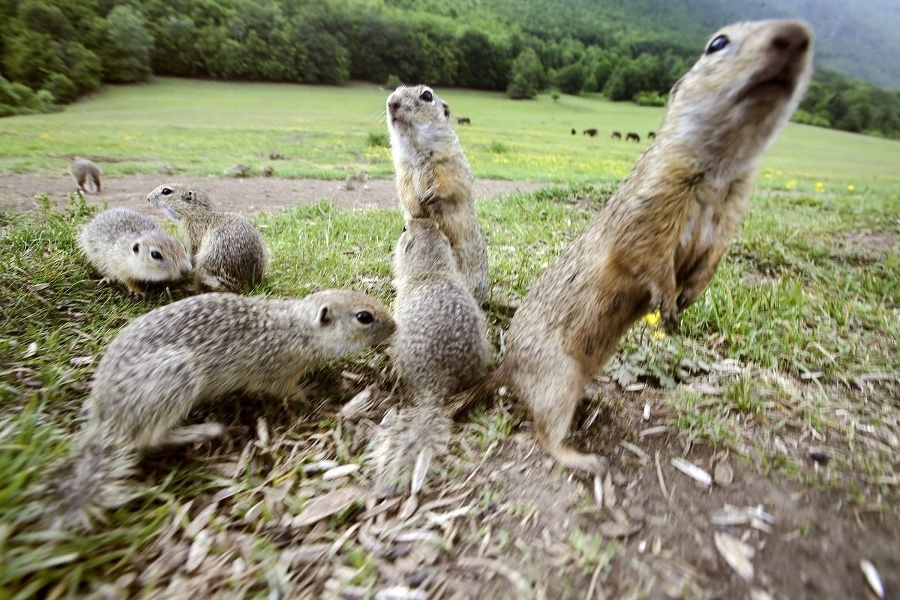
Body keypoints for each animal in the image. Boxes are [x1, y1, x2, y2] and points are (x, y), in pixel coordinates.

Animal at [51, 290, 394, 528]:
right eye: (364, 317)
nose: (395, 325)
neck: (297, 328)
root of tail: (107, 419)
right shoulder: (274, 373)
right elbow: (286, 390)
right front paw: (308, 392)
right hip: (176, 376)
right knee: (150, 438)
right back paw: (204, 430)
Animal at [384, 83, 488, 304]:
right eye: (396, 89)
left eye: (427, 95)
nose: (391, 103)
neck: (416, 148)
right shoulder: (402, 170)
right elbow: (405, 190)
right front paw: (416, 208)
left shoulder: (452, 163)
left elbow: (452, 183)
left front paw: (431, 195)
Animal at [492, 19, 816, 474]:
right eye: (717, 43)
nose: (797, 34)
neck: (721, 171)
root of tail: (506, 366)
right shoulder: (654, 199)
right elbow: (648, 253)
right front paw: (669, 305)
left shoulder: (729, 216)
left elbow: (711, 259)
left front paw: (690, 296)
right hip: (555, 377)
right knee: (544, 432)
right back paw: (586, 459)